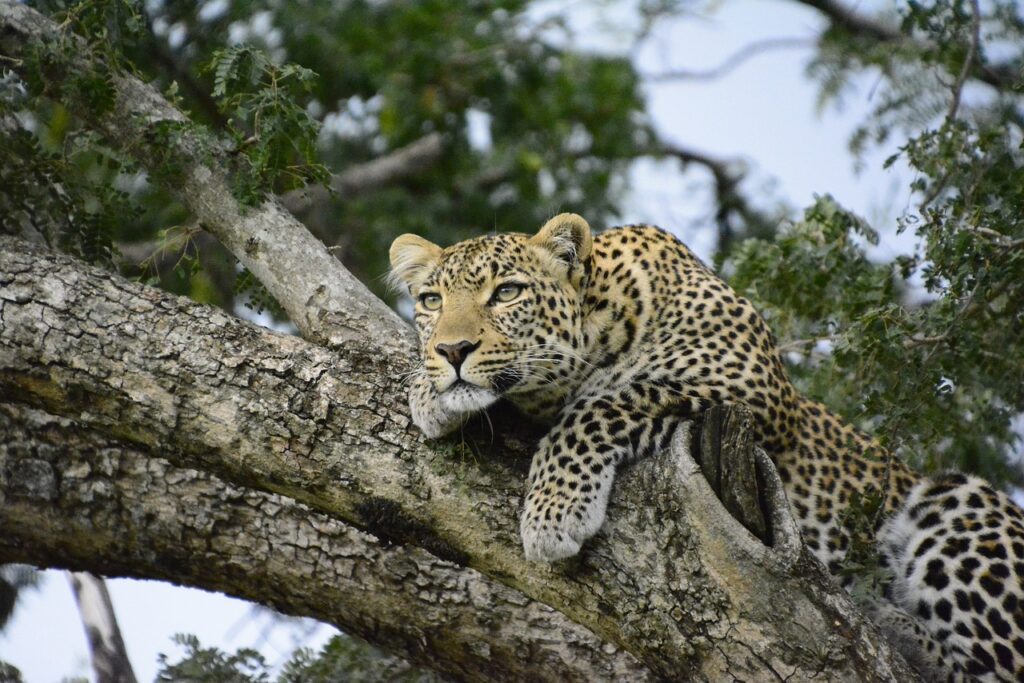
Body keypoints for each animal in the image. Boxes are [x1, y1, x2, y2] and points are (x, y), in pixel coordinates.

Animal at [385, 211, 1024, 679]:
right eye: (431, 301)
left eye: (508, 292)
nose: (452, 351)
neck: (605, 316)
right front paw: (428, 390)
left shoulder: (748, 391)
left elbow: (604, 404)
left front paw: (554, 511)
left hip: (958, 503)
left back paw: (892, 624)